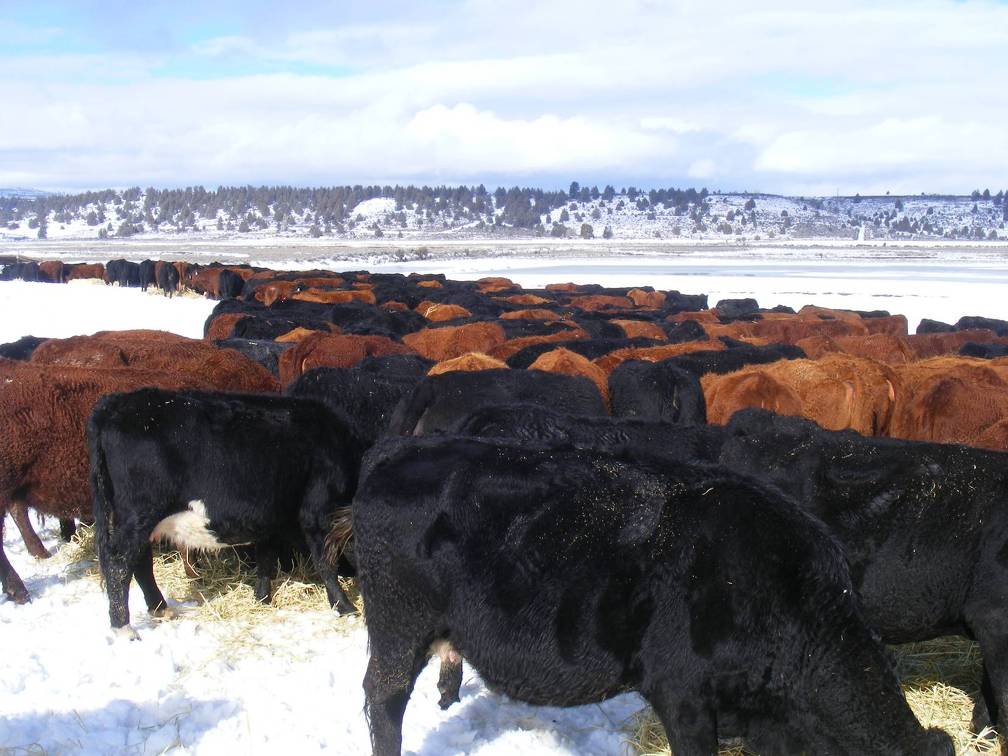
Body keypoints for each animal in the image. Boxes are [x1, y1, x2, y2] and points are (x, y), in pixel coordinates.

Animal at [88, 387, 360, 637]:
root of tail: (116, 402)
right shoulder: (316, 511)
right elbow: (325, 561)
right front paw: (345, 606)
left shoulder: (269, 518)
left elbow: (266, 558)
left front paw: (262, 598)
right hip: (140, 514)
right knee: (119, 562)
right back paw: (123, 627)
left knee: (140, 561)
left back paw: (161, 609)